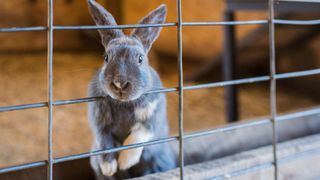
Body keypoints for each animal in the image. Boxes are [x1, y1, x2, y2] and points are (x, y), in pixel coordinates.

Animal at [87, 0, 178, 179]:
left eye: (140, 59)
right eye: (106, 58)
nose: (120, 83)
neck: (124, 102)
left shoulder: (152, 117)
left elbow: (137, 137)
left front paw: (124, 162)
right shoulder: (100, 123)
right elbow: (104, 142)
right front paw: (109, 167)